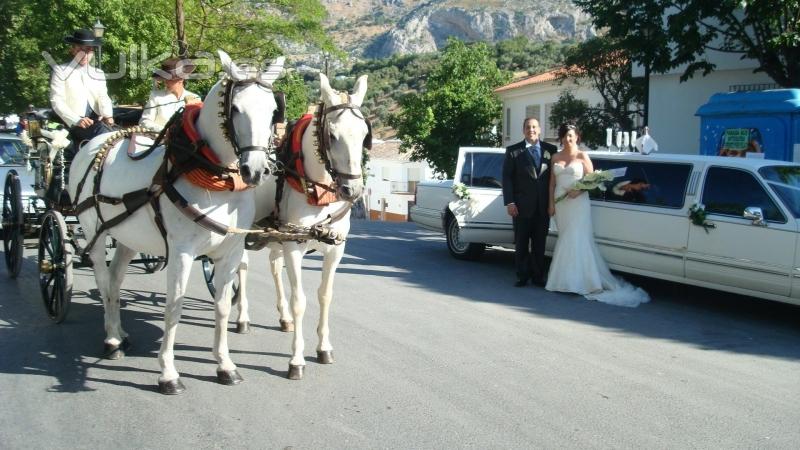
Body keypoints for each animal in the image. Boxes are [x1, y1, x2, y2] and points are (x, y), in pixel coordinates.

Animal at [68, 50, 284, 394]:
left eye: (274, 111)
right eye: (235, 109)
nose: (257, 170)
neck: (213, 178)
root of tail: (96, 142)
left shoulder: (231, 251)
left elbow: (223, 306)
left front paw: (225, 365)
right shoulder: (181, 252)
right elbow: (174, 308)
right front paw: (168, 373)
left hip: (128, 236)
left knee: (115, 281)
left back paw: (120, 332)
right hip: (95, 231)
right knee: (103, 280)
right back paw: (112, 339)